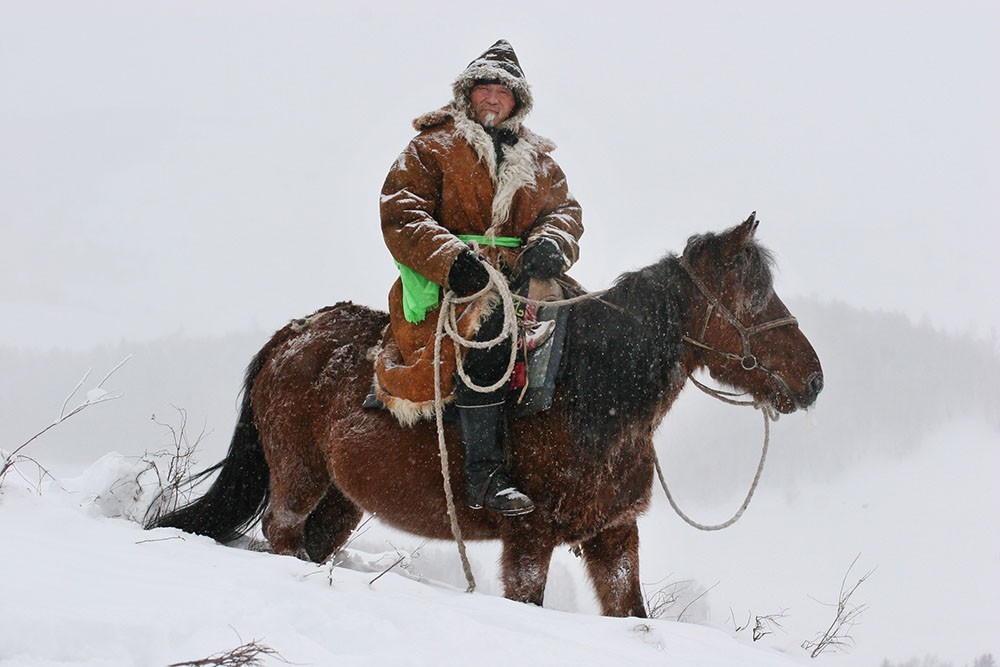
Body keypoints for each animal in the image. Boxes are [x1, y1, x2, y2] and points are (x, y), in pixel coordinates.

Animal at [148, 214, 820, 616]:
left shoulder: (613, 536)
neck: (591, 398)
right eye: (752, 297)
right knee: (282, 532)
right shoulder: (529, 540)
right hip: (298, 475)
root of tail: (294, 334)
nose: (812, 379)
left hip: (341, 499)